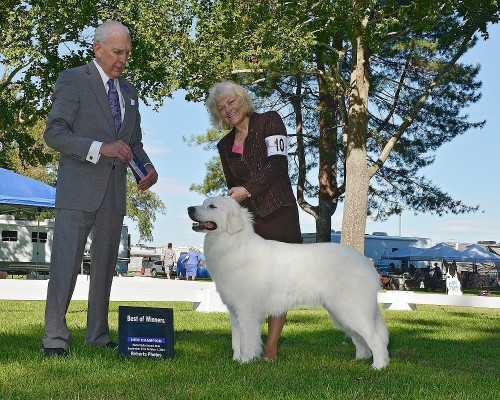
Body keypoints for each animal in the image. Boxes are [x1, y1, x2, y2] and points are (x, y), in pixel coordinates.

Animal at [188, 196, 389, 369]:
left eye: (212, 206)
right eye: (203, 203)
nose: (189, 208)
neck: (232, 243)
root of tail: (367, 262)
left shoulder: (246, 312)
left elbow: (247, 341)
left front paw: (245, 362)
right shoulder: (234, 312)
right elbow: (236, 341)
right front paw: (235, 360)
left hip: (350, 309)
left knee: (375, 337)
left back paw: (379, 366)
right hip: (340, 313)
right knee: (360, 338)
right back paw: (359, 359)